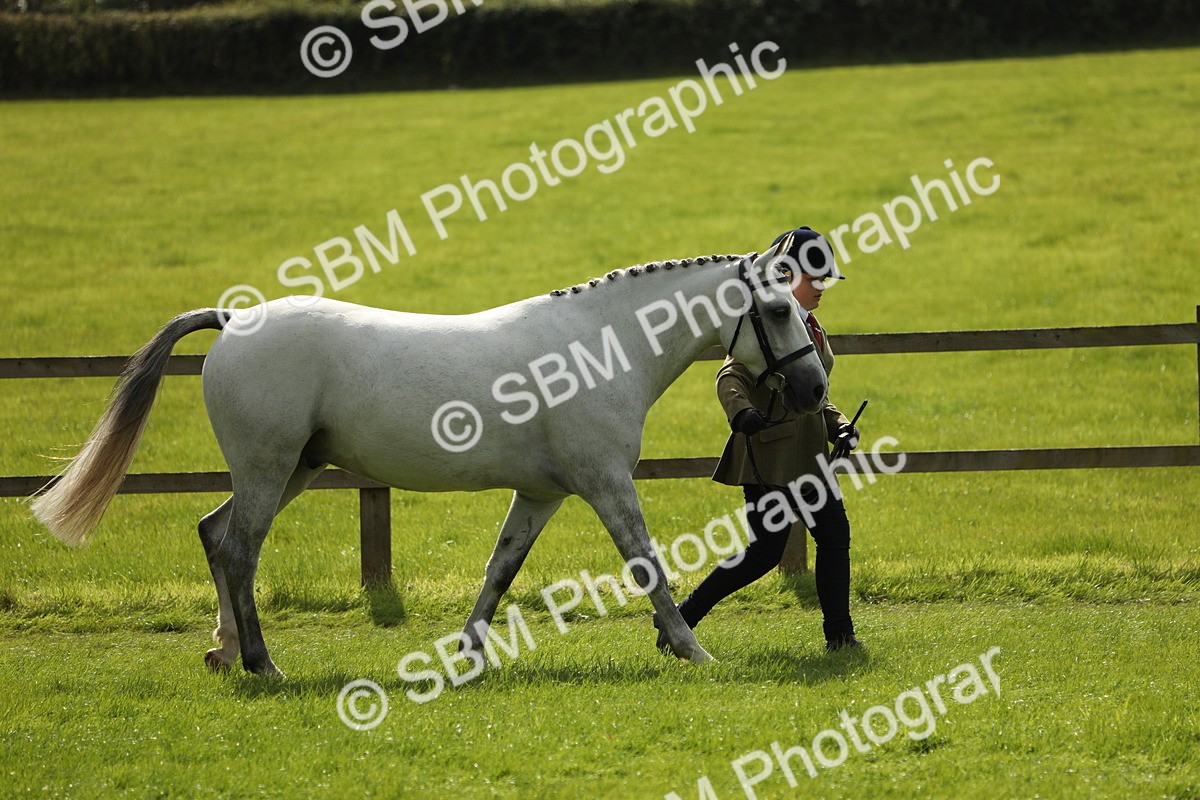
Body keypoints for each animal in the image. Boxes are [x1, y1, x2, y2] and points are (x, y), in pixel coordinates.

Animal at [32, 233, 828, 676]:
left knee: (214, 533)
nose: (815, 387)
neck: (599, 349)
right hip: (269, 468)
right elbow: (646, 565)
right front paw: (691, 649)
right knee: (239, 549)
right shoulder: (606, 484)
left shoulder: (543, 493)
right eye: (778, 309)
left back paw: (225, 653)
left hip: (293, 469)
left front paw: (469, 654)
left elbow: (500, 569)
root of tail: (232, 321)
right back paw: (262, 662)